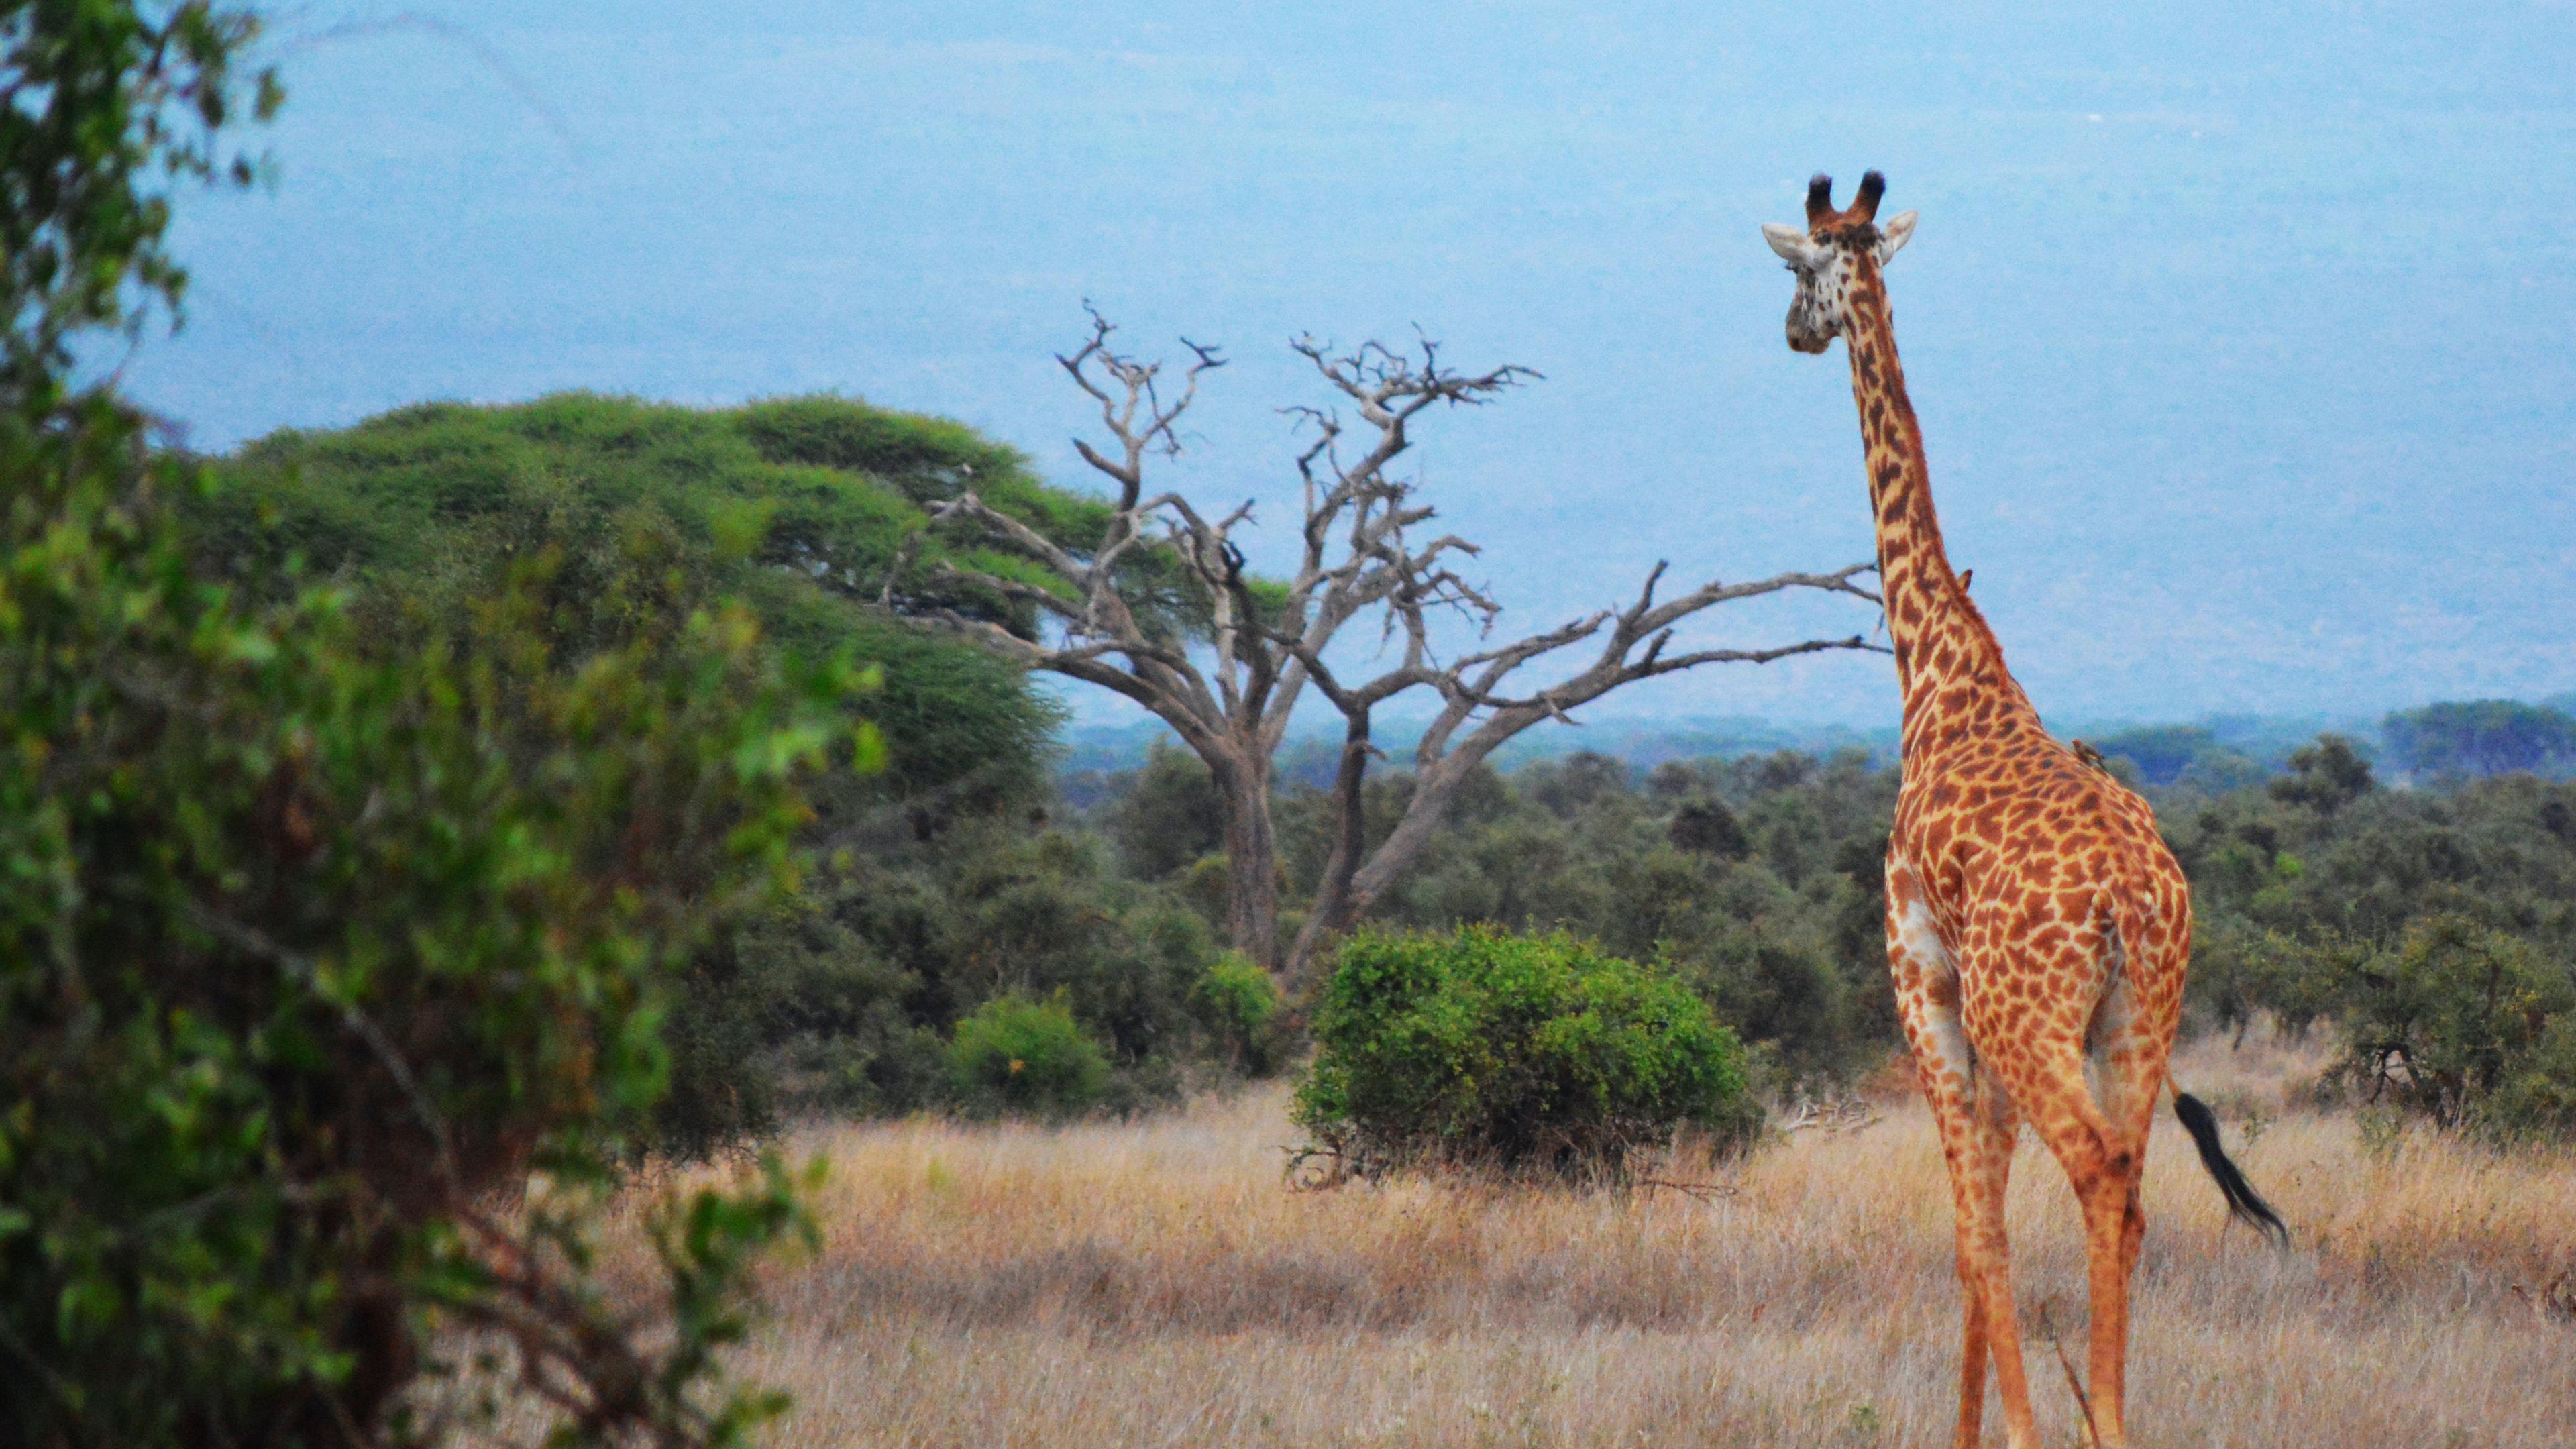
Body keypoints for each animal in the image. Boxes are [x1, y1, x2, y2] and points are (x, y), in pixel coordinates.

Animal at [1762, 171, 2283, 1449]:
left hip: (2032, 1017)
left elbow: (1974, 1232)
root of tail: (2129, 901)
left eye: (1796, 268)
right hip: (2137, 1019)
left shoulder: (1923, 977)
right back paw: (2114, 1414)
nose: (1792, 332)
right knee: (2134, 1191)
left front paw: (2001, 1431)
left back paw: (2098, 1424)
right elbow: (1981, 1232)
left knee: (2096, 1173)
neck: (1939, 671)